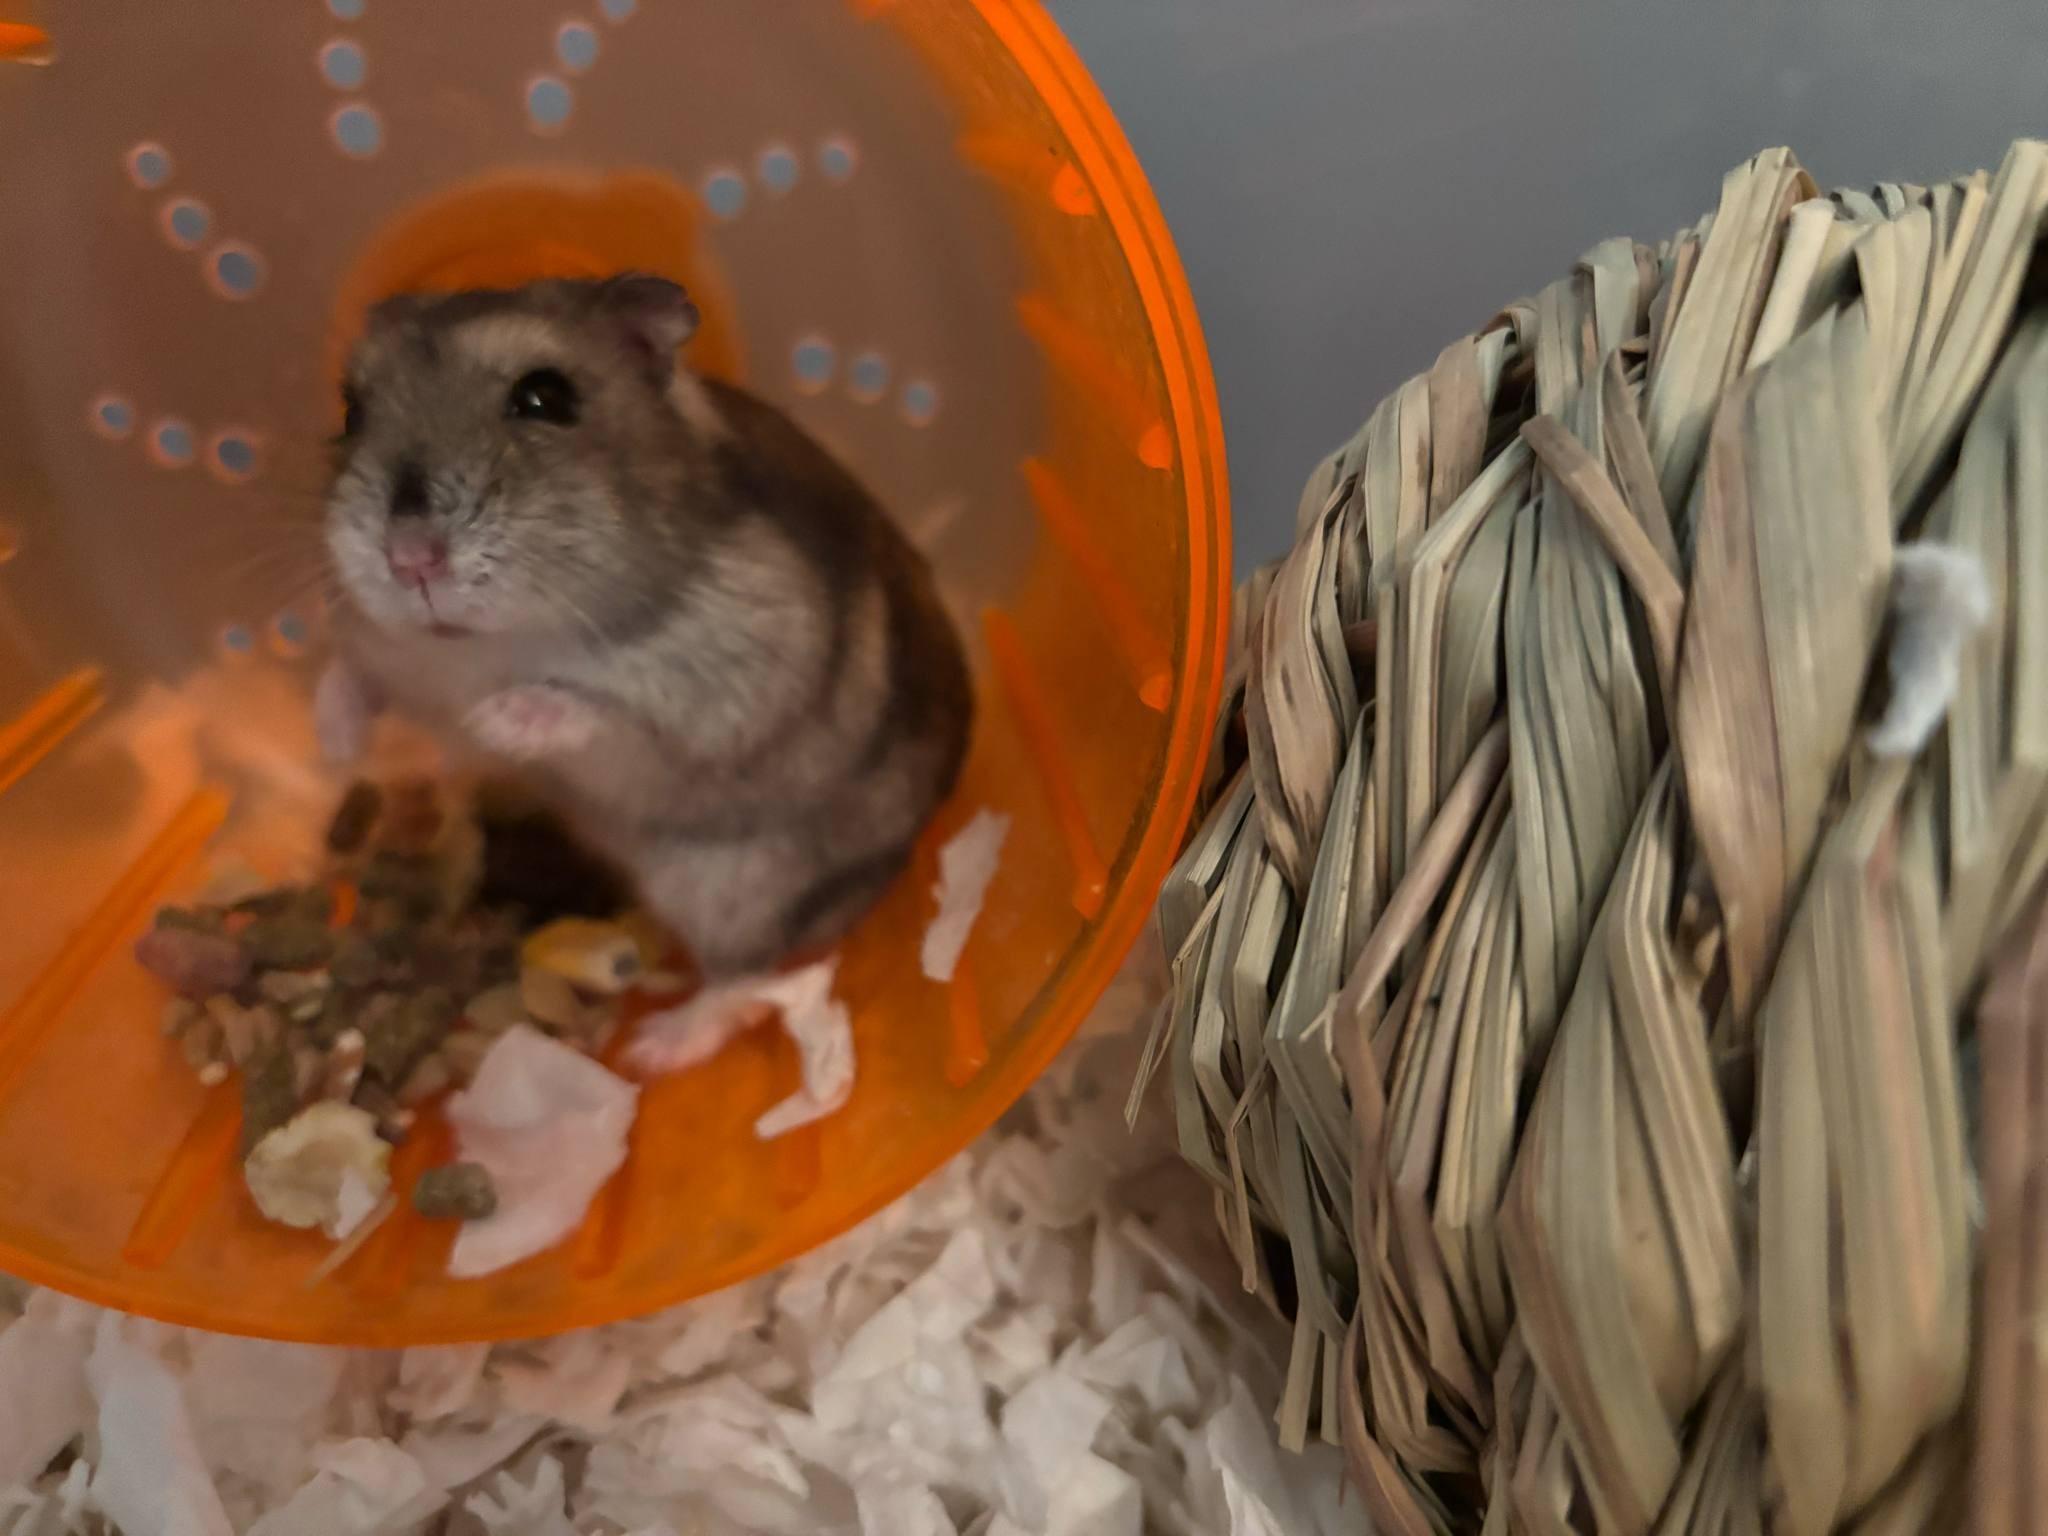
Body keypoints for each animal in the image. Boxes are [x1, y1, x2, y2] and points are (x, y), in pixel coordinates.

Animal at [317, 275, 973, 978]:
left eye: (545, 396)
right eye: (352, 412)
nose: (410, 559)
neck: (487, 646)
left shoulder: (721, 695)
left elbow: (603, 708)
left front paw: (494, 720)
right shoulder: (392, 659)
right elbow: (352, 673)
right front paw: (335, 744)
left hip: (745, 895)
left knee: (758, 970)